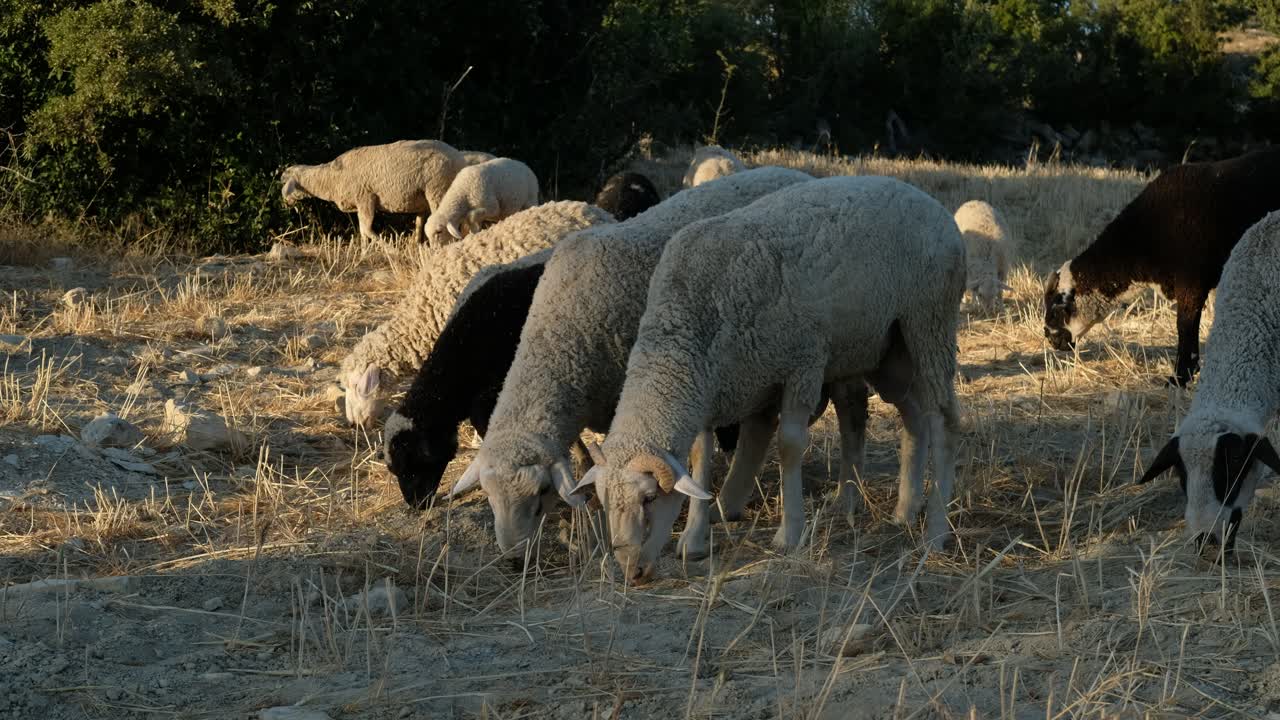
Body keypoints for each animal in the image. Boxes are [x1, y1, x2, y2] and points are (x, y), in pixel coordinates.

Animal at [281, 139, 468, 244]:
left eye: (283, 181)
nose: (285, 203)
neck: (332, 178)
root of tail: (460, 158)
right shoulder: (360, 204)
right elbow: (363, 232)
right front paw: (363, 254)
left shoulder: (366, 199)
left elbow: (367, 230)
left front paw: (390, 251)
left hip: (438, 190)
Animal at [570, 176, 966, 580]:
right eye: (603, 499)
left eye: (650, 498)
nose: (630, 572)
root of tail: (927, 200)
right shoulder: (712, 387)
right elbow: (700, 457)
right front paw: (693, 540)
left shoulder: (803, 363)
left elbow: (789, 445)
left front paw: (789, 535)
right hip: (885, 348)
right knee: (913, 414)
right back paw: (905, 510)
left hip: (928, 320)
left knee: (945, 420)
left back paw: (935, 531)